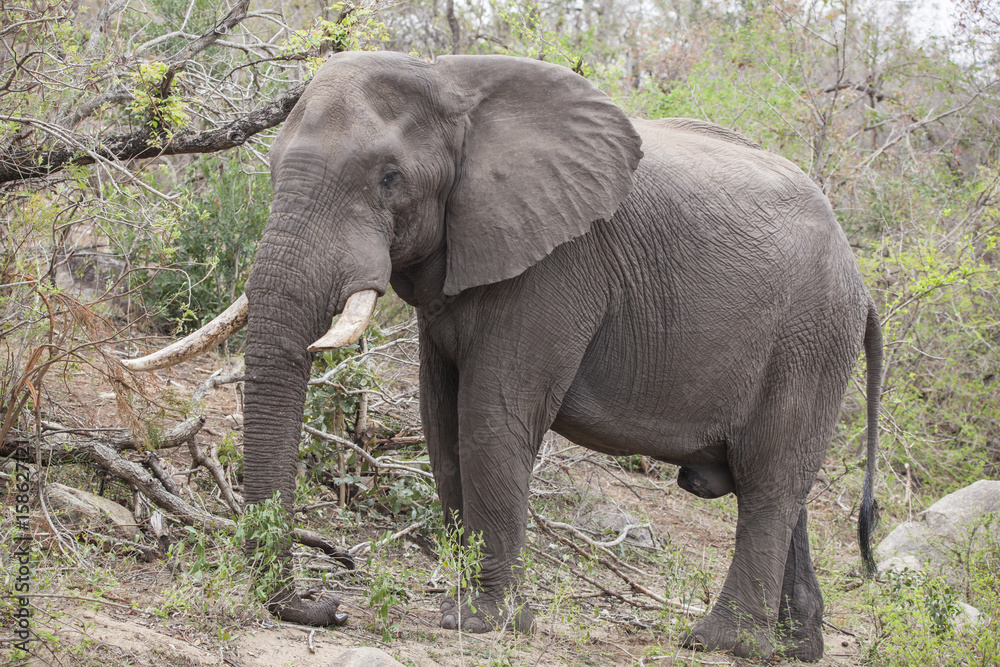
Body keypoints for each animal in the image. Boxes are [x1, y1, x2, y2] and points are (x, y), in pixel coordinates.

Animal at [124, 50, 882, 661]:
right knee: (785, 488)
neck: (451, 82)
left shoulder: (557, 266)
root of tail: (863, 284)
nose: (327, 607)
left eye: (390, 177)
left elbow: (489, 418)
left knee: (768, 482)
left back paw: (720, 643)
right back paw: (797, 648)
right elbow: (440, 424)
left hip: (811, 337)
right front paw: (465, 611)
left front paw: (481, 624)